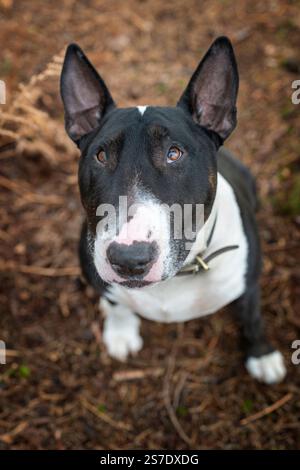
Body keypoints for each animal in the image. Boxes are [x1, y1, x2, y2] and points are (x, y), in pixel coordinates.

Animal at [60, 35, 286, 382]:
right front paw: (121, 332)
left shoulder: (249, 282)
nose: (129, 260)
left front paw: (261, 354)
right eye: (101, 156)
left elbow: (252, 316)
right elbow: (116, 303)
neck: (178, 275)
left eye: (174, 153)